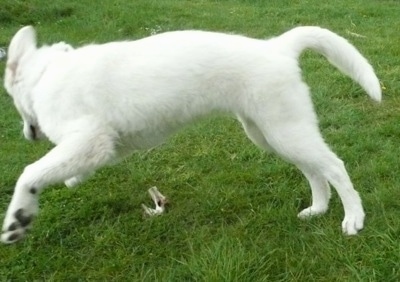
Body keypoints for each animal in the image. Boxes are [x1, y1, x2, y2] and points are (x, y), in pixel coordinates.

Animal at [0, 25, 382, 243]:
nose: (27, 134)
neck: (47, 74)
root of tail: (276, 47)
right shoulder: (101, 144)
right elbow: (65, 168)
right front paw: (73, 179)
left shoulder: (90, 137)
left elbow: (30, 174)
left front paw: (18, 219)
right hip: (271, 132)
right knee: (314, 170)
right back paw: (318, 208)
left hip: (284, 130)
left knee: (334, 166)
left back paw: (353, 217)